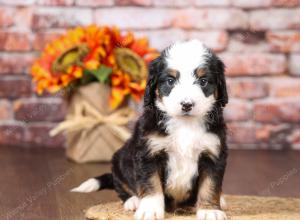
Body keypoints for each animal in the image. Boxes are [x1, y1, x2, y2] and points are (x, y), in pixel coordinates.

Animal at [72, 40, 227, 220]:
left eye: (203, 81)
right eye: (170, 80)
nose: (187, 105)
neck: (185, 124)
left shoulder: (213, 152)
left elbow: (210, 185)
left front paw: (210, 210)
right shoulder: (149, 153)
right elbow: (151, 184)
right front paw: (150, 210)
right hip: (119, 161)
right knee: (122, 187)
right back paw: (133, 201)